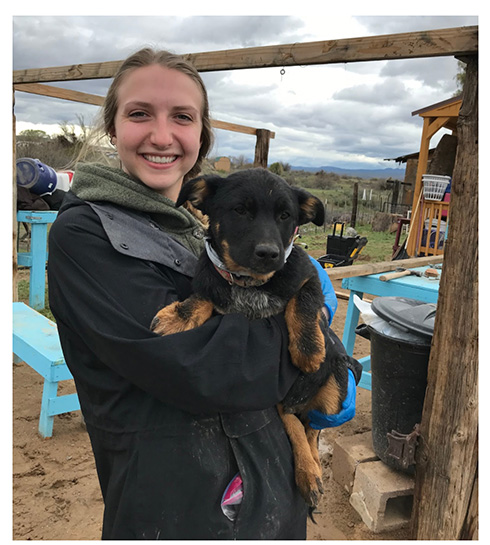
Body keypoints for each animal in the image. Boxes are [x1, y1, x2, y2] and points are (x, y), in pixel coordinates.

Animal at [151, 168, 358, 508]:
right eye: (239, 210)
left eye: (286, 216)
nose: (269, 254)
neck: (249, 283)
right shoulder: (215, 284)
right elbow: (206, 291)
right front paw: (179, 316)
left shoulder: (308, 275)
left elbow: (304, 303)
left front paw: (309, 350)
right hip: (283, 400)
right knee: (293, 422)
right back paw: (307, 470)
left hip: (336, 385)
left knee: (312, 429)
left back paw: (312, 468)